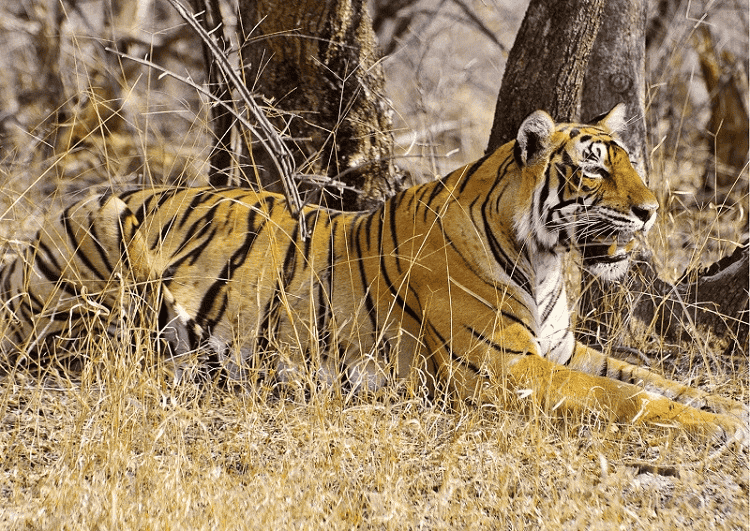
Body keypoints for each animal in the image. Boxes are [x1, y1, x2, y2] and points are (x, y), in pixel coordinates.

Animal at [1, 105, 747, 445]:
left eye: (631, 162)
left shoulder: (562, 349)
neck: (545, 259)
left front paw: (730, 408)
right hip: (107, 249)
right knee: (93, 348)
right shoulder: (503, 367)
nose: (650, 211)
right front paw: (719, 429)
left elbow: (649, 377)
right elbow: (626, 397)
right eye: (593, 169)